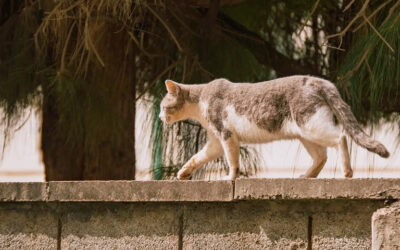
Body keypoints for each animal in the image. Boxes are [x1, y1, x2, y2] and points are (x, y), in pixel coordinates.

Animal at [158, 75, 390, 181]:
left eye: (162, 106)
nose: (159, 117)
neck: (200, 103)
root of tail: (318, 80)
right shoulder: (215, 142)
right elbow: (197, 157)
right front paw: (183, 172)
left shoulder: (226, 135)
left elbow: (233, 161)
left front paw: (230, 178)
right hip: (305, 133)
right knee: (321, 156)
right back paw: (306, 176)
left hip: (312, 125)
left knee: (340, 137)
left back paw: (347, 172)